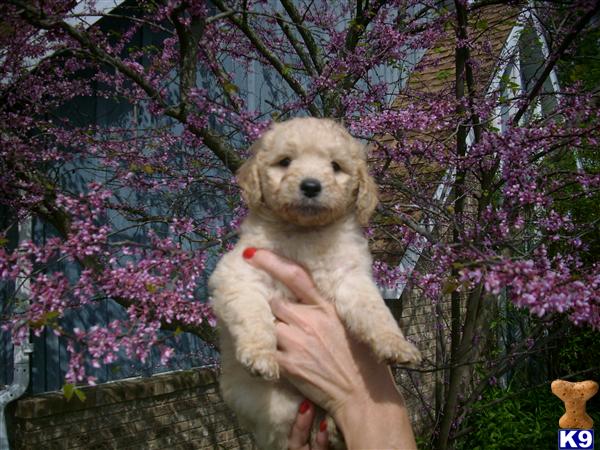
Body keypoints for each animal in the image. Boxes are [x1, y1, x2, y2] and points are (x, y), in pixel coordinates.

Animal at [209, 117, 420, 450]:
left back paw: (333, 427)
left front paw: (395, 344)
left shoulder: (351, 277)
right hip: (278, 406)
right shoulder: (239, 272)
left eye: (335, 166)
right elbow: (254, 315)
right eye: (285, 162)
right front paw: (261, 355)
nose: (310, 186)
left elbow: (375, 311)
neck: (305, 233)